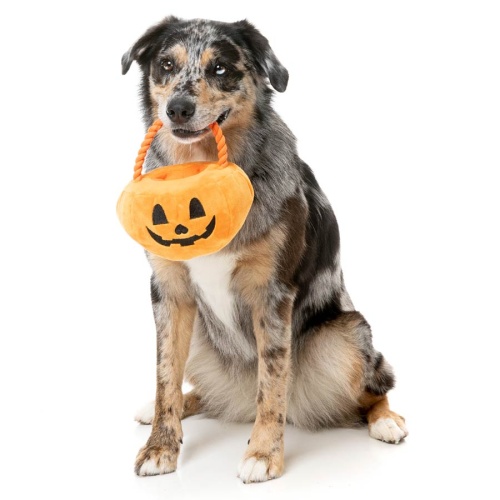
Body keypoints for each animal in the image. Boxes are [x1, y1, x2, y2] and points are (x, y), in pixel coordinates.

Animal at [121, 16, 406, 484]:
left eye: (219, 67)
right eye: (166, 65)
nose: (177, 109)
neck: (203, 170)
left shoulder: (272, 295)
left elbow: (272, 382)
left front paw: (263, 454)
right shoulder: (169, 295)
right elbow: (165, 377)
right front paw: (160, 446)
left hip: (343, 336)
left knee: (372, 388)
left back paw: (386, 421)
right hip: (200, 338)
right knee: (196, 389)